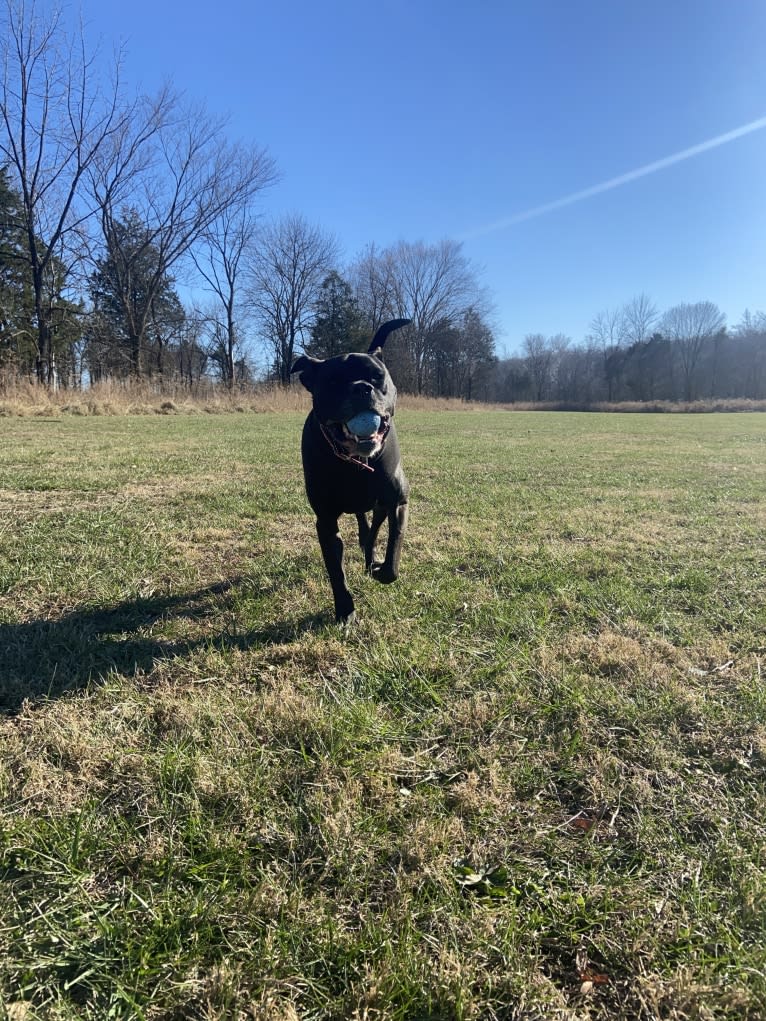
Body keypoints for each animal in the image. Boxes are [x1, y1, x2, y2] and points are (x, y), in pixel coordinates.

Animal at [292, 316, 414, 620]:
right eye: (333, 381)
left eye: (376, 376)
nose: (361, 388)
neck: (354, 464)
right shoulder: (325, 522)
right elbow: (336, 570)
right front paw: (345, 610)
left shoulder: (397, 502)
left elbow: (393, 553)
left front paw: (380, 568)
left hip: (380, 505)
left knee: (371, 530)